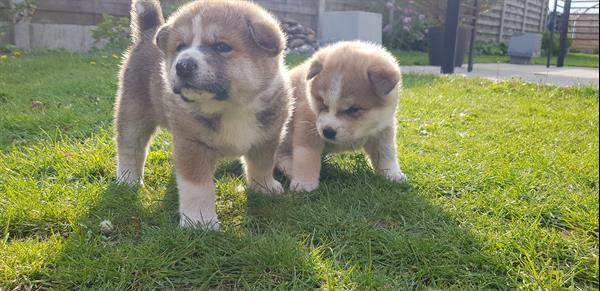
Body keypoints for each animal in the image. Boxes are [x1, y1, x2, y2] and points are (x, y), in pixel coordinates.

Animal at [116, 0, 290, 230]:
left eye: (221, 46)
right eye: (180, 47)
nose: (182, 65)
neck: (232, 107)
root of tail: (148, 32)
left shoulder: (267, 138)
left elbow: (261, 165)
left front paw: (264, 187)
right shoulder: (193, 145)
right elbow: (198, 187)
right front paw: (199, 222)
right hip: (133, 114)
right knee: (130, 147)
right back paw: (128, 179)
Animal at [278, 40, 408, 192]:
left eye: (353, 109)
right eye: (322, 102)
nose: (328, 131)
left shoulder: (383, 129)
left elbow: (387, 153)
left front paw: (392, 174)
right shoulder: (307, 124)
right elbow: (306, 157)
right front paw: (304, 183)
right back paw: (291, 169)